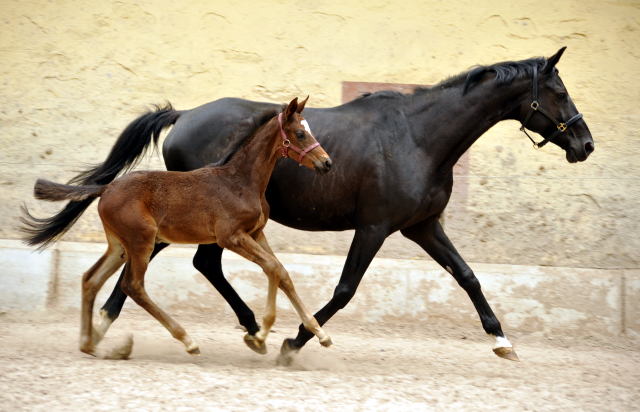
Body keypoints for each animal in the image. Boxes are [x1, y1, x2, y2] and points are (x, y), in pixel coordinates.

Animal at [30, 97, 332, 358]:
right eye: (300, 133)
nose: (327, 163)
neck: (242, 180)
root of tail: (107, 187)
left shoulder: (256, 233)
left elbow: (282, 272)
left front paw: (320, 333)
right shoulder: (230, 237)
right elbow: (272, 268)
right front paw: (260, 334)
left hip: (119, 245)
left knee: (91, 279)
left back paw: (88, 343)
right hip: (142, 240)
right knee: (133, 286)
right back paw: (187, 340)